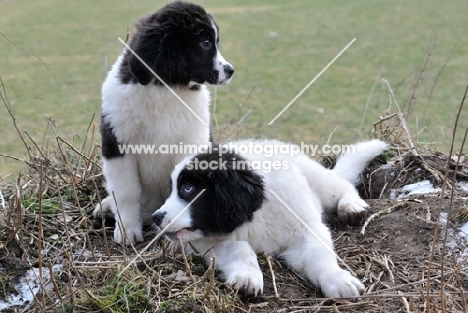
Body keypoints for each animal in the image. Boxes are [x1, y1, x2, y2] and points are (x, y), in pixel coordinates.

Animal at [153, 140, 388, 298]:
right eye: (172, 190)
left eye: (188, 188)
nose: (156, 217)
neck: (253, 218)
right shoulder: (202, 242)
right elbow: (238, 246)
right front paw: (247, 276)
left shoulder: (305, 227)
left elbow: (318, 252)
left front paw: (337, 278)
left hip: (316, 177)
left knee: (341, 185)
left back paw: (351, 205)